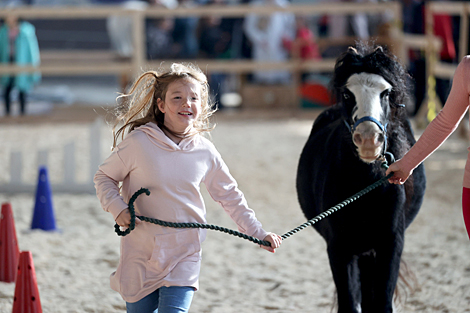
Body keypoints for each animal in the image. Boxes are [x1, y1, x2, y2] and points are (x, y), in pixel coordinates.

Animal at [298, 44, 426, 312]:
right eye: (347, 94)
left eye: (386, 93)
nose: (369, 139)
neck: (366, 188)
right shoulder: (339, 247)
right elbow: (348, 303)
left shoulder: (391, 244)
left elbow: (383, 303)